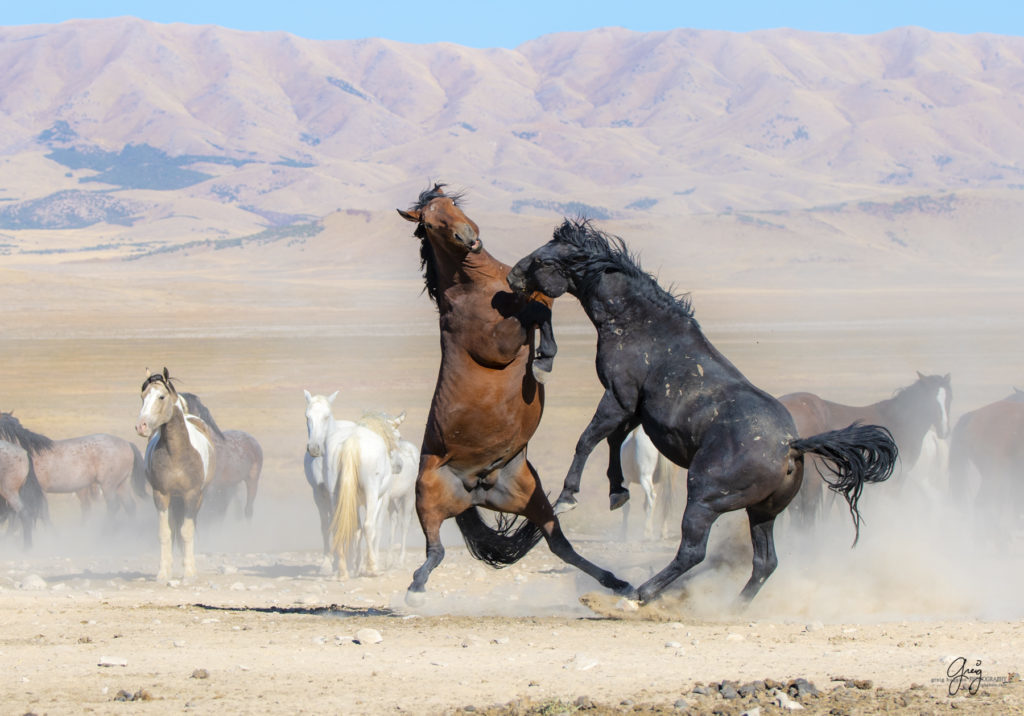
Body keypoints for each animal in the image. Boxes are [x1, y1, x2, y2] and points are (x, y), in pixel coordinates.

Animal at [0, 411, 148, 524]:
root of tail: (127, 443)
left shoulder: (36, 492)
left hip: (108, 485)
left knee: (114, 506)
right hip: (120, 484)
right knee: (130, 506)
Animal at [135, 368, 217, 581]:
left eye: (161, 396)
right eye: (143, 397)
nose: (141, 426)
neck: (177, 452)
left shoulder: (192, 495)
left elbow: (186, 531)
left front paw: (188, 572)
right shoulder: (161, 495)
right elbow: (165, 533)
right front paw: (163, 572)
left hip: (197, 497)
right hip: (173, 499)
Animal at [397, 180, 630, 606]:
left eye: (452, 204)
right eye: (431, 223)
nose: (467, 237)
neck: (476, 285)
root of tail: (476, 488)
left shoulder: (532, 299)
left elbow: (540, 305)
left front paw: (544, 356)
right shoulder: (499, 345)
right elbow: (535, 315)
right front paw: (544, 360)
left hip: (529, 497)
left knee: (560, 545)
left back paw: (617, 582)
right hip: (428, 497)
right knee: (435, 551)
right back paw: (415, 590)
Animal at [503, 218, 897, 606]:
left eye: (543, 260)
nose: (513, 278)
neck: (640, 324)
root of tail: (792, 445)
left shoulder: (619, 398)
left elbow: (587, 441)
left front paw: (568, 497)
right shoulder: (634, 410)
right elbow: (613, 442)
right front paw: (617, 491)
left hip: (705, 499)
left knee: (693, 552)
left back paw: (639, 594)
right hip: (762, 512)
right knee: (764, 562)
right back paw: (731, 607)